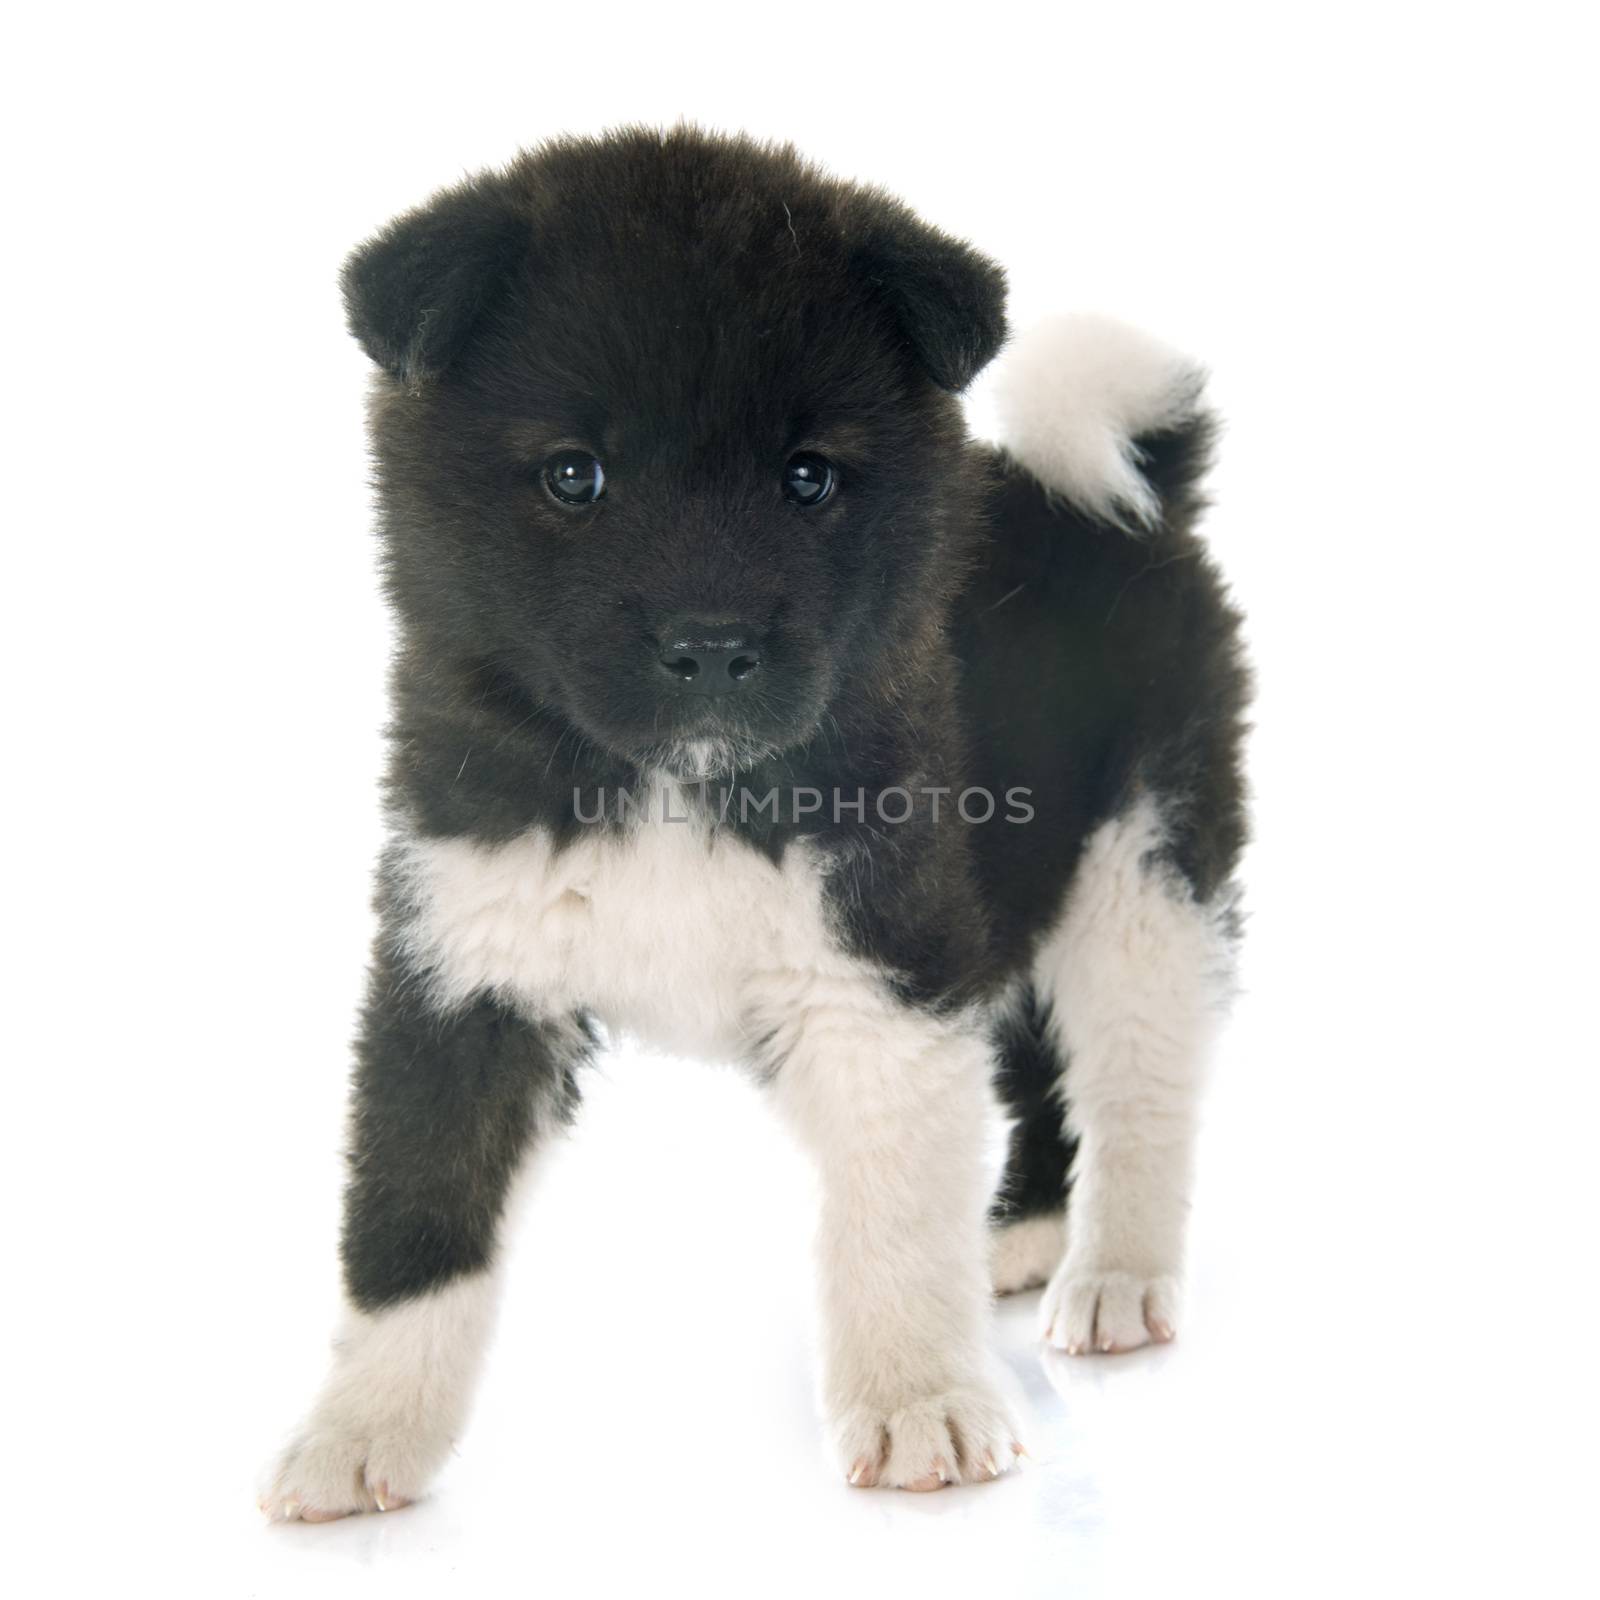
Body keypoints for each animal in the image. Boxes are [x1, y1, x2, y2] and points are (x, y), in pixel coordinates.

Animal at [262, 124, 1248, 1510]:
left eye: (808, 477)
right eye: (576, 474)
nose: (712, 647)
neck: (673, 786)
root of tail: (1127, 503)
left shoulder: (885, 961)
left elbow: (891, 1212)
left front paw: (921, 1403)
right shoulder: (463, 954)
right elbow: (413, 1214)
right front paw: (358, 1436)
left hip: (1143, 863)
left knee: (1139, 1072)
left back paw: (1115, 1274)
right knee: (1036, 1050)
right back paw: (1023, 1235)